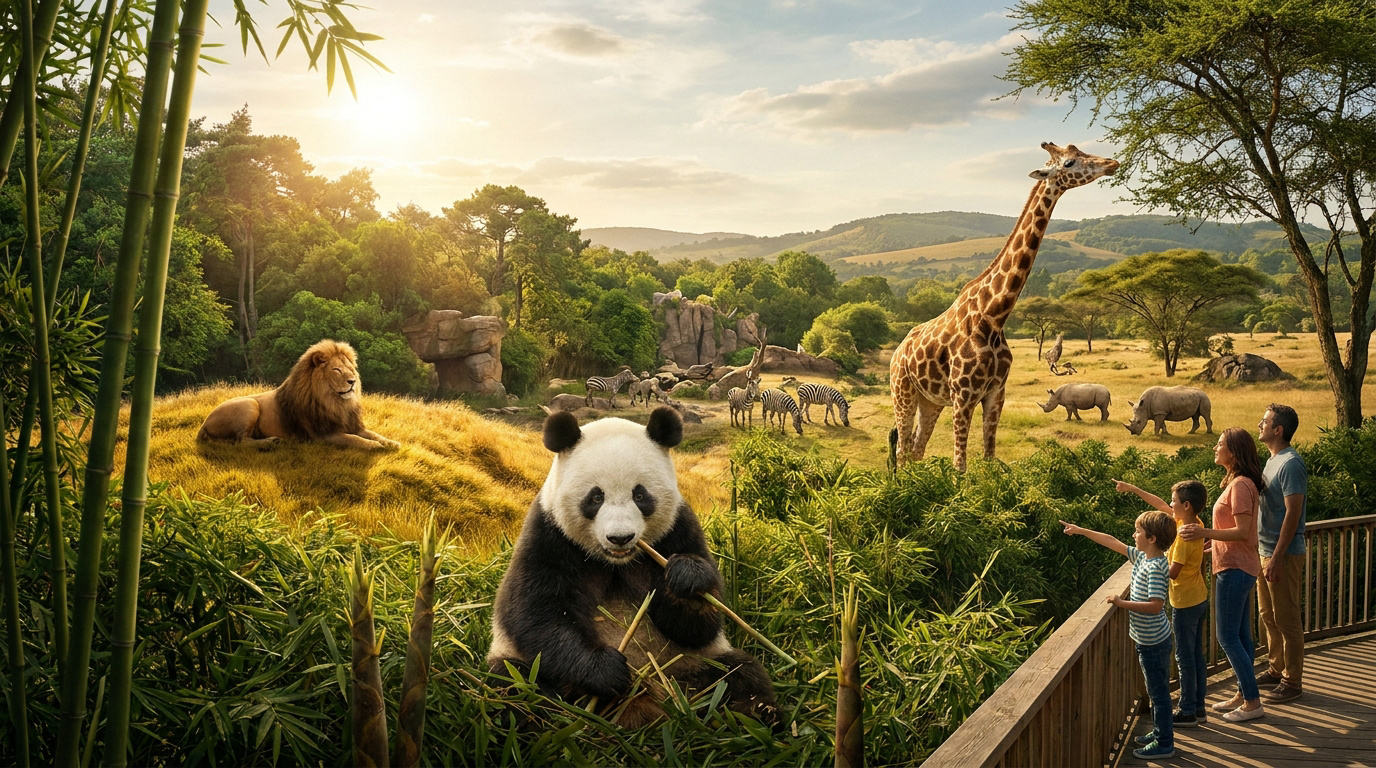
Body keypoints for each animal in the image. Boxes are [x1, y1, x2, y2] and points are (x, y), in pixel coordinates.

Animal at [487, 406, 777, 727]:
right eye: (596, 496)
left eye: (640, 495)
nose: (620, 537)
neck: (616, 563)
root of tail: (644, 704)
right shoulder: (548, 535)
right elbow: (535, 613)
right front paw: (605, 670)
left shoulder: (678, 530)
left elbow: (698, 626)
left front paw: (687, 578)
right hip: (531, 673)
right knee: (511, 684)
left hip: (688, 665)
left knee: (738, 674)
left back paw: (760, 713)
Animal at [889, 142, 1118, 471]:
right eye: (1069, 162)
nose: (1112, 163)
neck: (995, 315)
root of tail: (896, 354)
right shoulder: (963, 396)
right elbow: (960, 467)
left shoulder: (997, 393)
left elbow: (989, 457)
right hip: (902, 391)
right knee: (902, 450)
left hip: (930, 400)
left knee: (917, 448)